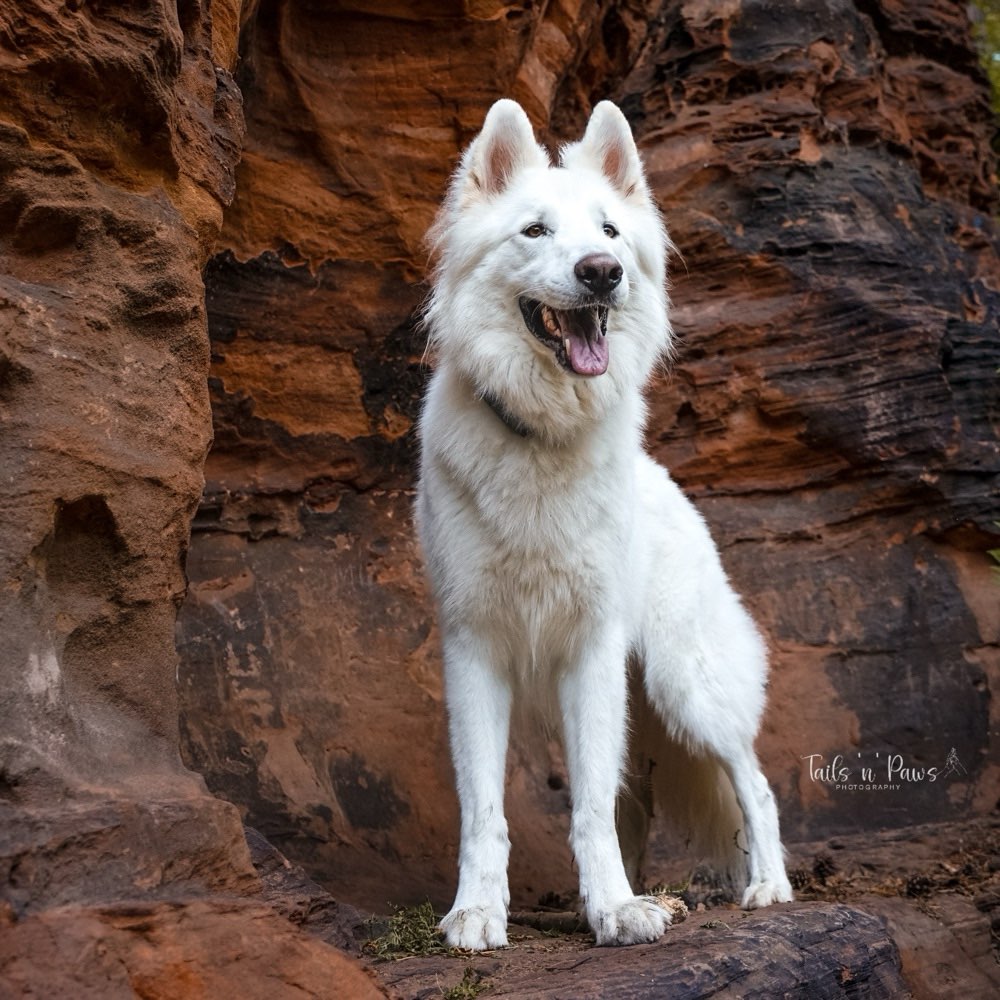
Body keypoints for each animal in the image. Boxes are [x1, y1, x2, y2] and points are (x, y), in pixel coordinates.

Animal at [412, 97, 788, 948]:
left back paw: (769, 888)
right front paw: (479, 911)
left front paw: (614, 910)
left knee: (753, 783)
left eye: (610, 233)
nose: (600, 273)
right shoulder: (473, 650)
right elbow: (485, 808)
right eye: (535, 231)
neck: (542, 437)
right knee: (637, 800)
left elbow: (586, 805)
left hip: (685, 687)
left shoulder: (591, 648)